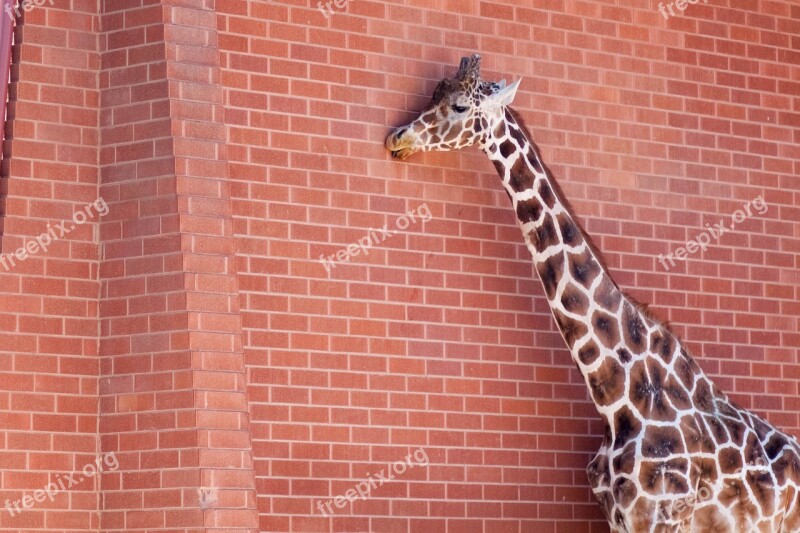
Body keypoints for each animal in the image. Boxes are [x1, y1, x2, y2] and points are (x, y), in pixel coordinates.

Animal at [386, 55, 800, 532]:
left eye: (457, 106)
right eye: (433, 93)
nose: (397, 138)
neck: (620, 399)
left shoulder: (658, 516)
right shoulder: (616, 516)